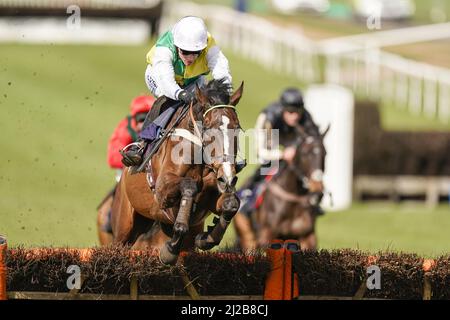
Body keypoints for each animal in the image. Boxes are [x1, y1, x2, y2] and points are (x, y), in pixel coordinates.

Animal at [111, 80, 244, 264]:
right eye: (208, 127)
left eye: (237, 128)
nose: (227, 177)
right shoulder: (162, 190)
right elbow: (189, 186)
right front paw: (170, 250)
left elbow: (231, 204)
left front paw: (207, 238)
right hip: (124, 225)